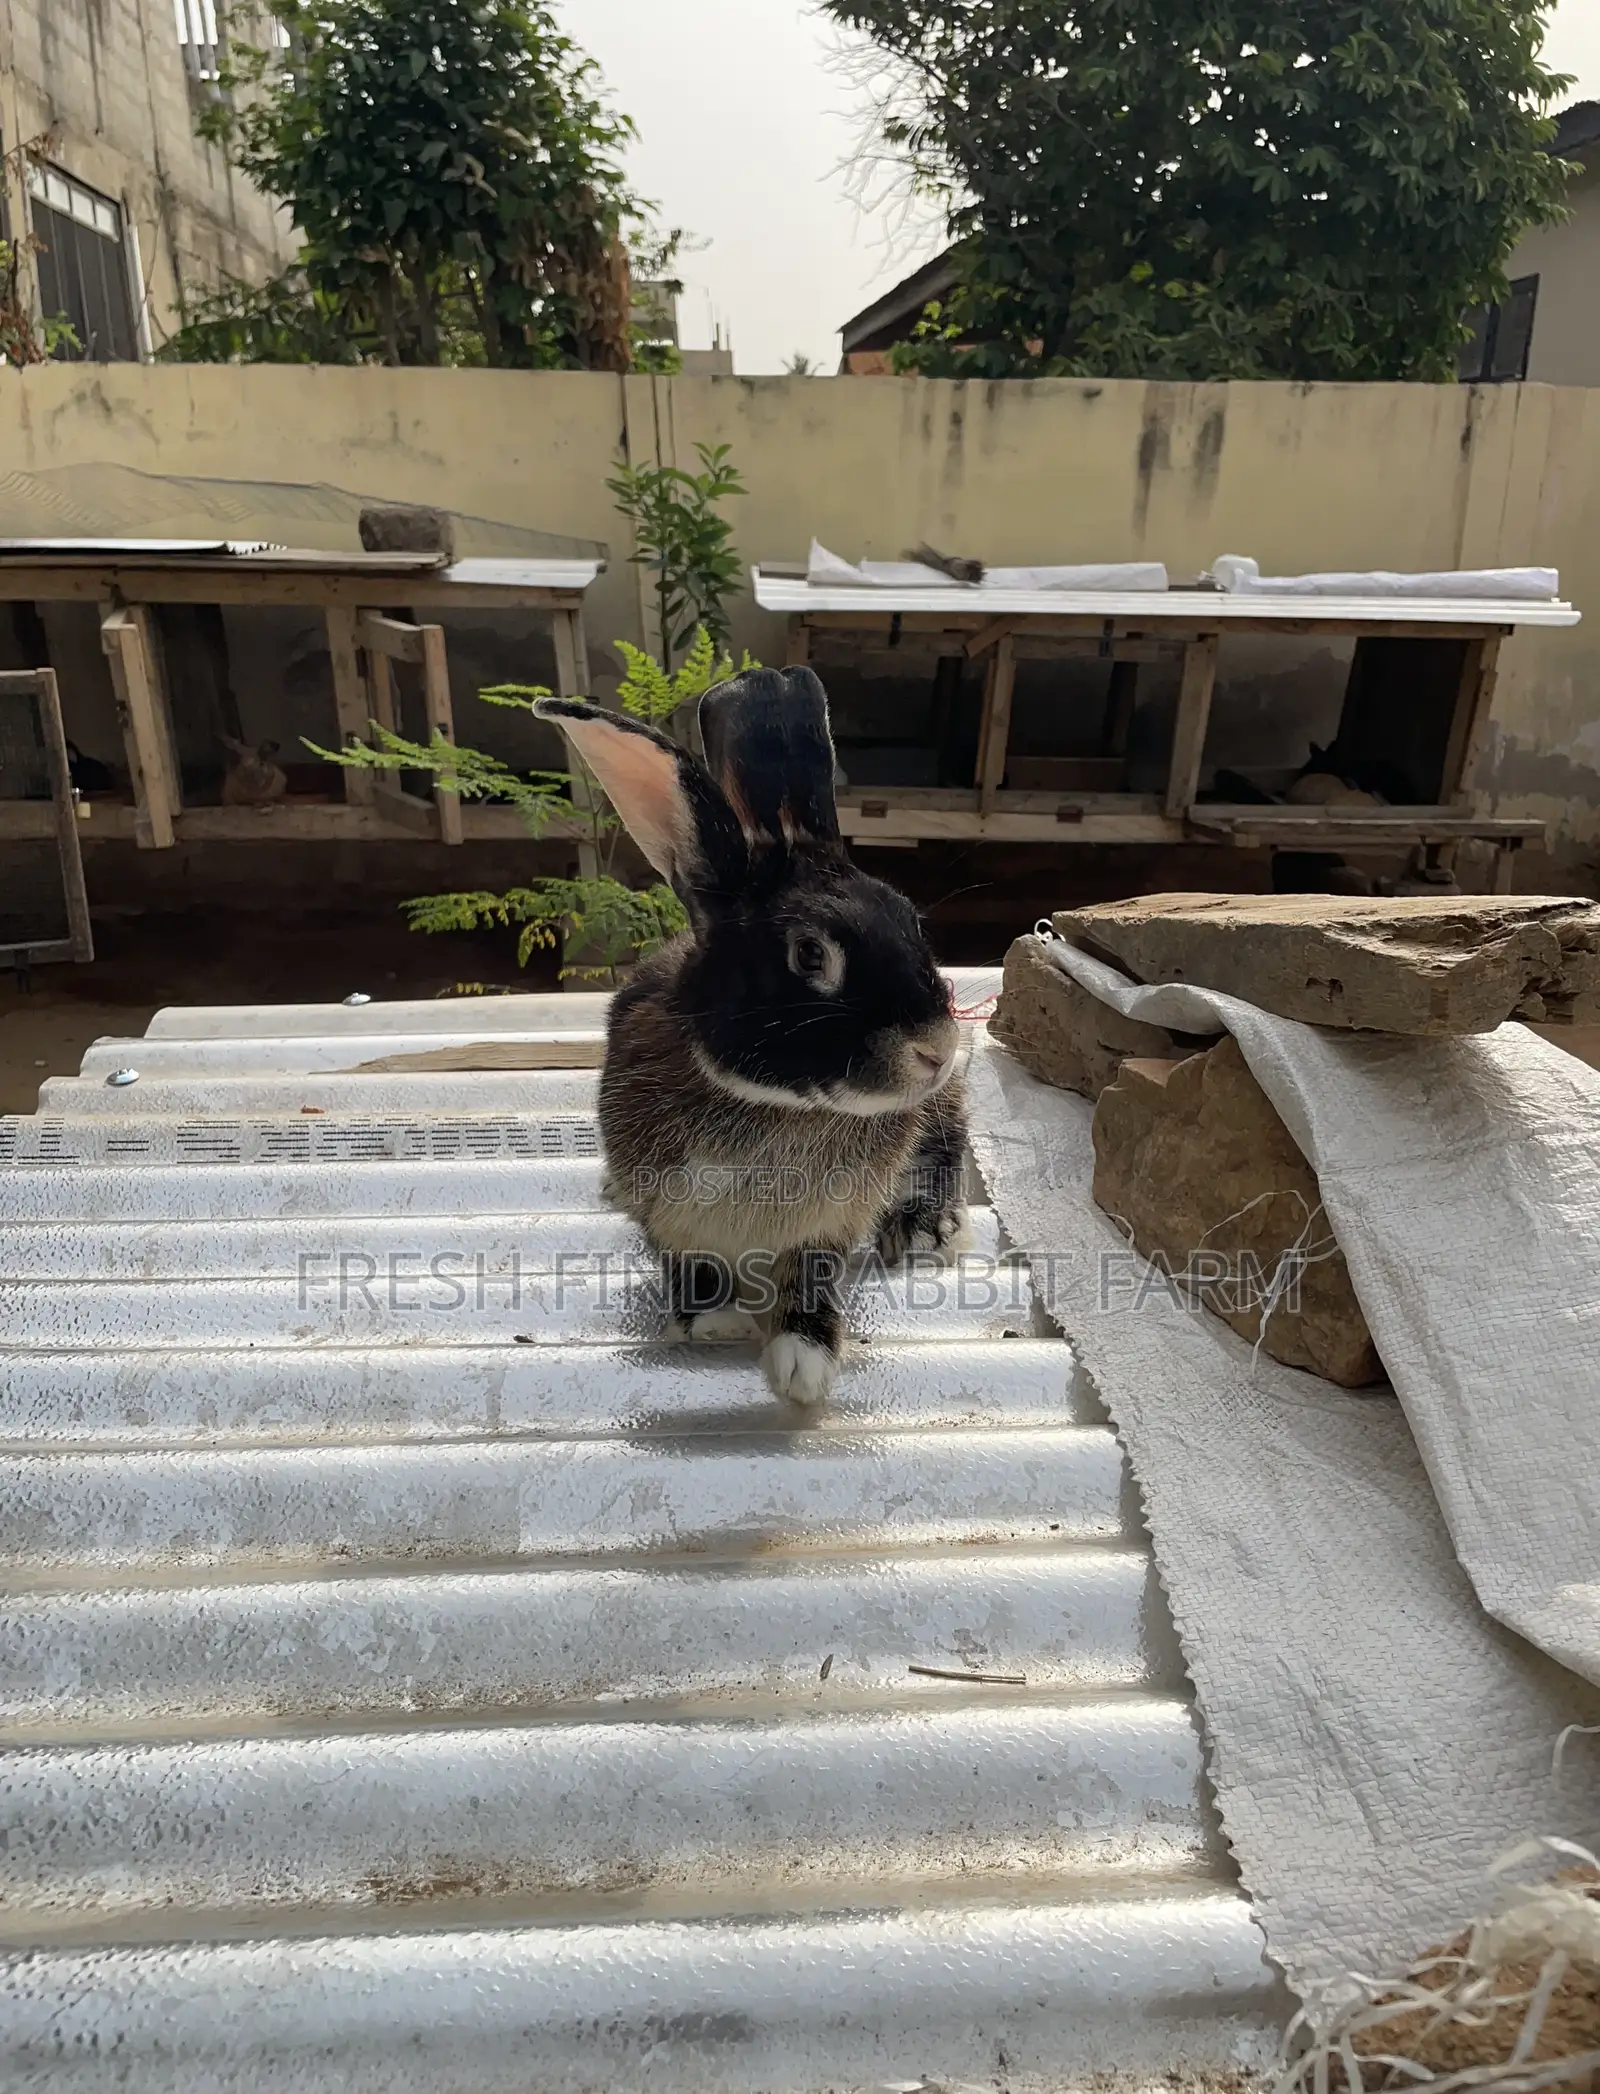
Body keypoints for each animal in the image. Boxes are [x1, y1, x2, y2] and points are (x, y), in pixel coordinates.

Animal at [535, 666, 968, 1408]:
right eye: (809, 955)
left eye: (912, 921)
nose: (937, 1050)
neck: (777, 1107)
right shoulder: (669, 1220)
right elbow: (691, 1264)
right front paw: (715, 1323)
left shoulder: (828, 1226)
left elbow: (811, 1277)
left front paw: (803, 1364)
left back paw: (925, 1232)